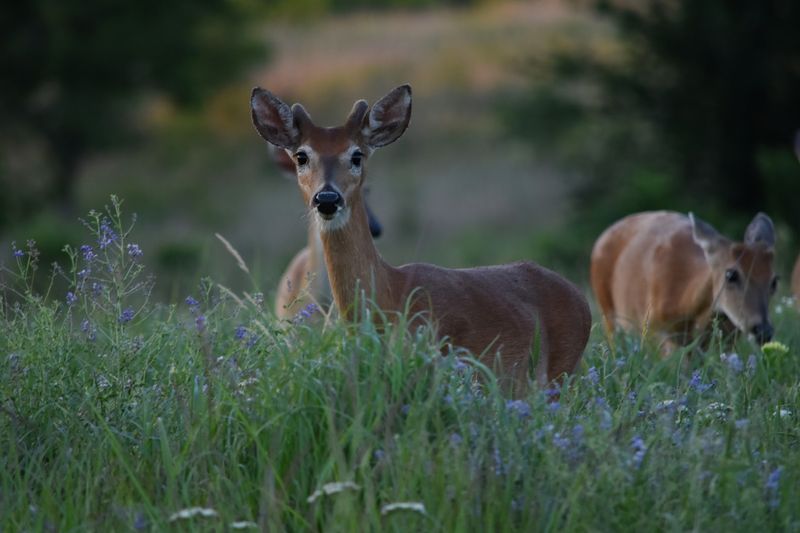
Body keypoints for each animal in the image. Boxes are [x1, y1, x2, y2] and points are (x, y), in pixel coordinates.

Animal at [591, 211, 778, 353]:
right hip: (607, 310)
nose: (763, 330)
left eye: (775, 281)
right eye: (731, 274)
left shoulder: (728, 339)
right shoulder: (654, 329)